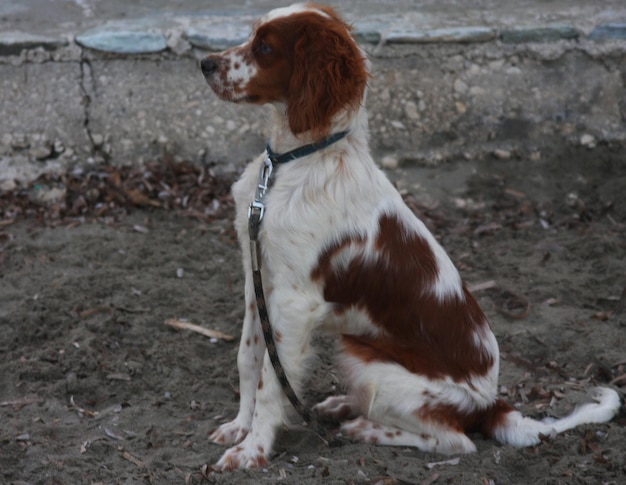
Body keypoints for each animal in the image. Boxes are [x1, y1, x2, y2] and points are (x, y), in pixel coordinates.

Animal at [199, 2, 616, 468]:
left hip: (372, 363)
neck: (297, 161)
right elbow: (249, 358)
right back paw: (342, 406)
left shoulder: (293, 302)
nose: (205, 63)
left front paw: (252, 449)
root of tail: (491, 406)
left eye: (266, 47)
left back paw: (365, 428)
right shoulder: (259, 281)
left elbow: (272, 381)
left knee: (455, 440)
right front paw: (239, 426)